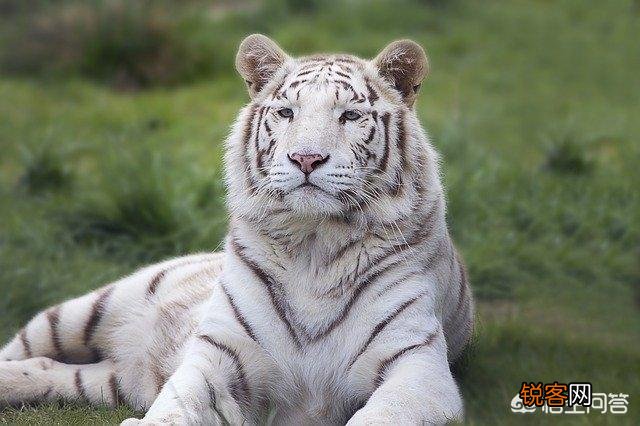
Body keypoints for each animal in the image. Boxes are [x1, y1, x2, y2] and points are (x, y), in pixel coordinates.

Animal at [0, 34, 474, 425]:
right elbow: (177, 403)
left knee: (49, 369)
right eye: (286, 112)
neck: (315, 244)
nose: (306, 158)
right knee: (24, 349)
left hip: (108, 380)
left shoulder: (417, 367)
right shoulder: (218, 353)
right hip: (85, 310)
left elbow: (382, 415)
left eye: (350, 115)